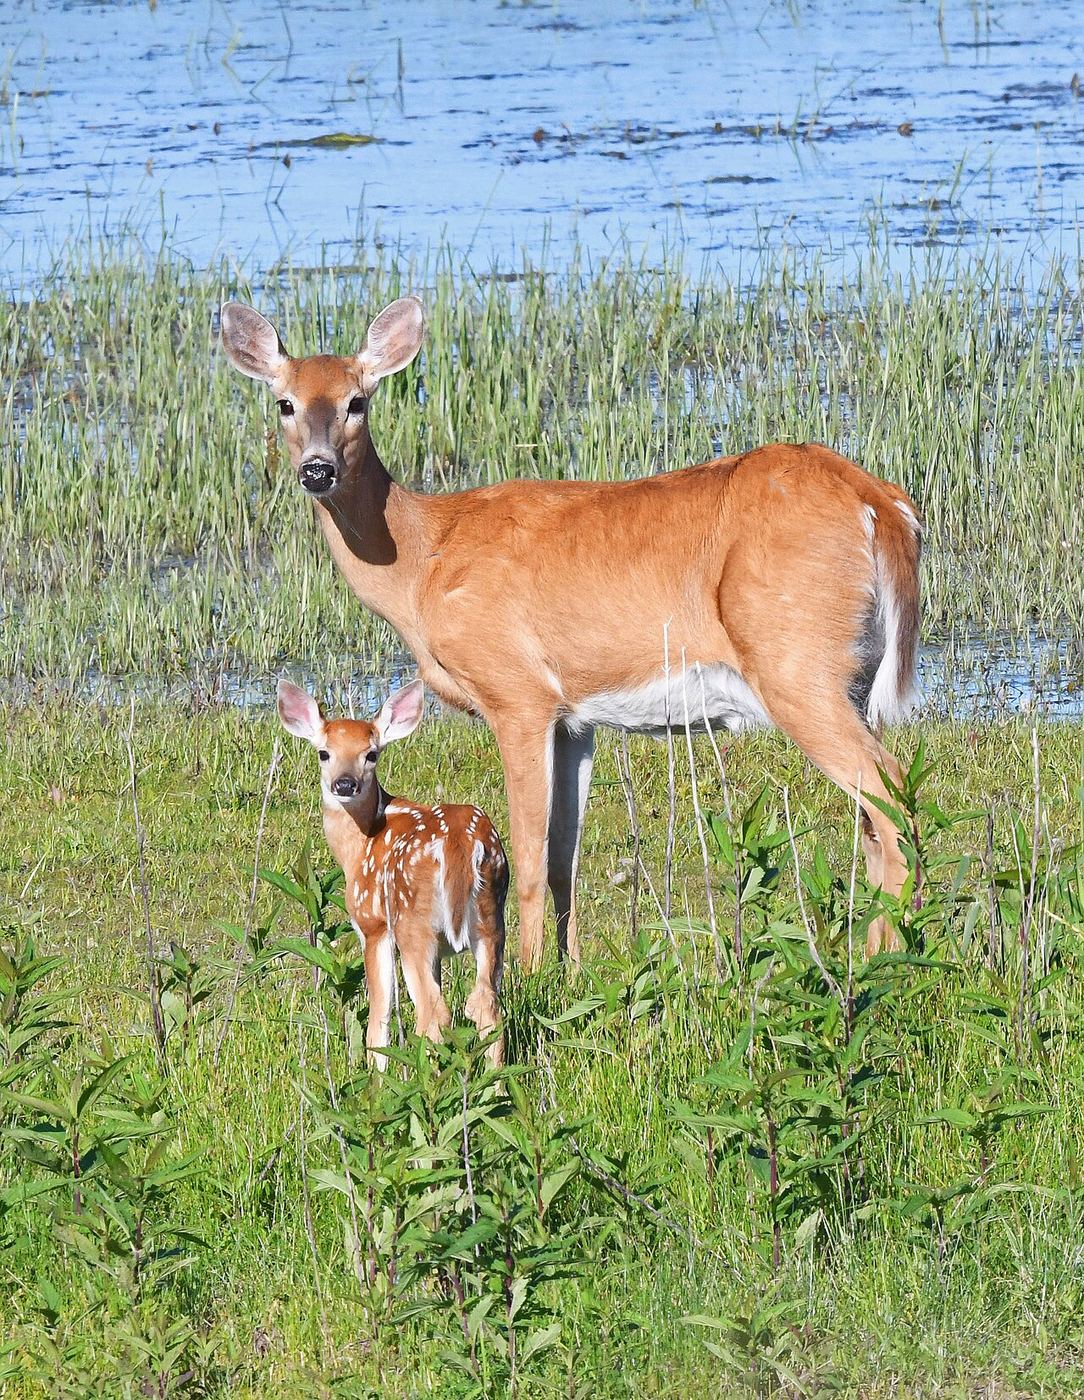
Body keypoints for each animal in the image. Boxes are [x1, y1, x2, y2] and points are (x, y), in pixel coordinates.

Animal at [221, 296, 922, 970]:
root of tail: (879, 503)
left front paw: (528, 974)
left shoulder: (517, 693)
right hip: (849, 674)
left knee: (892, 798)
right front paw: (569, 969)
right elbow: (564, 856)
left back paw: (887, 959)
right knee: (873, 815)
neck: (424, 560)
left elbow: (527, 855)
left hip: (796, 661)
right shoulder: (574, 718)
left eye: (356, 401)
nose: (317, 470)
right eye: (285, 403)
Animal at [276, 677, 508, 1069]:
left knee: (434, 1012)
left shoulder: (372, 926)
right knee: (486, 1004)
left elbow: (378, 1014)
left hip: (412, 923)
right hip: (492, 919)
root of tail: (461, 843)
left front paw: (374, 1070)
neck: (359, 846)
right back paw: (497, 1081)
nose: (345, 784)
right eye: (324, 752)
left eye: (372, 754)